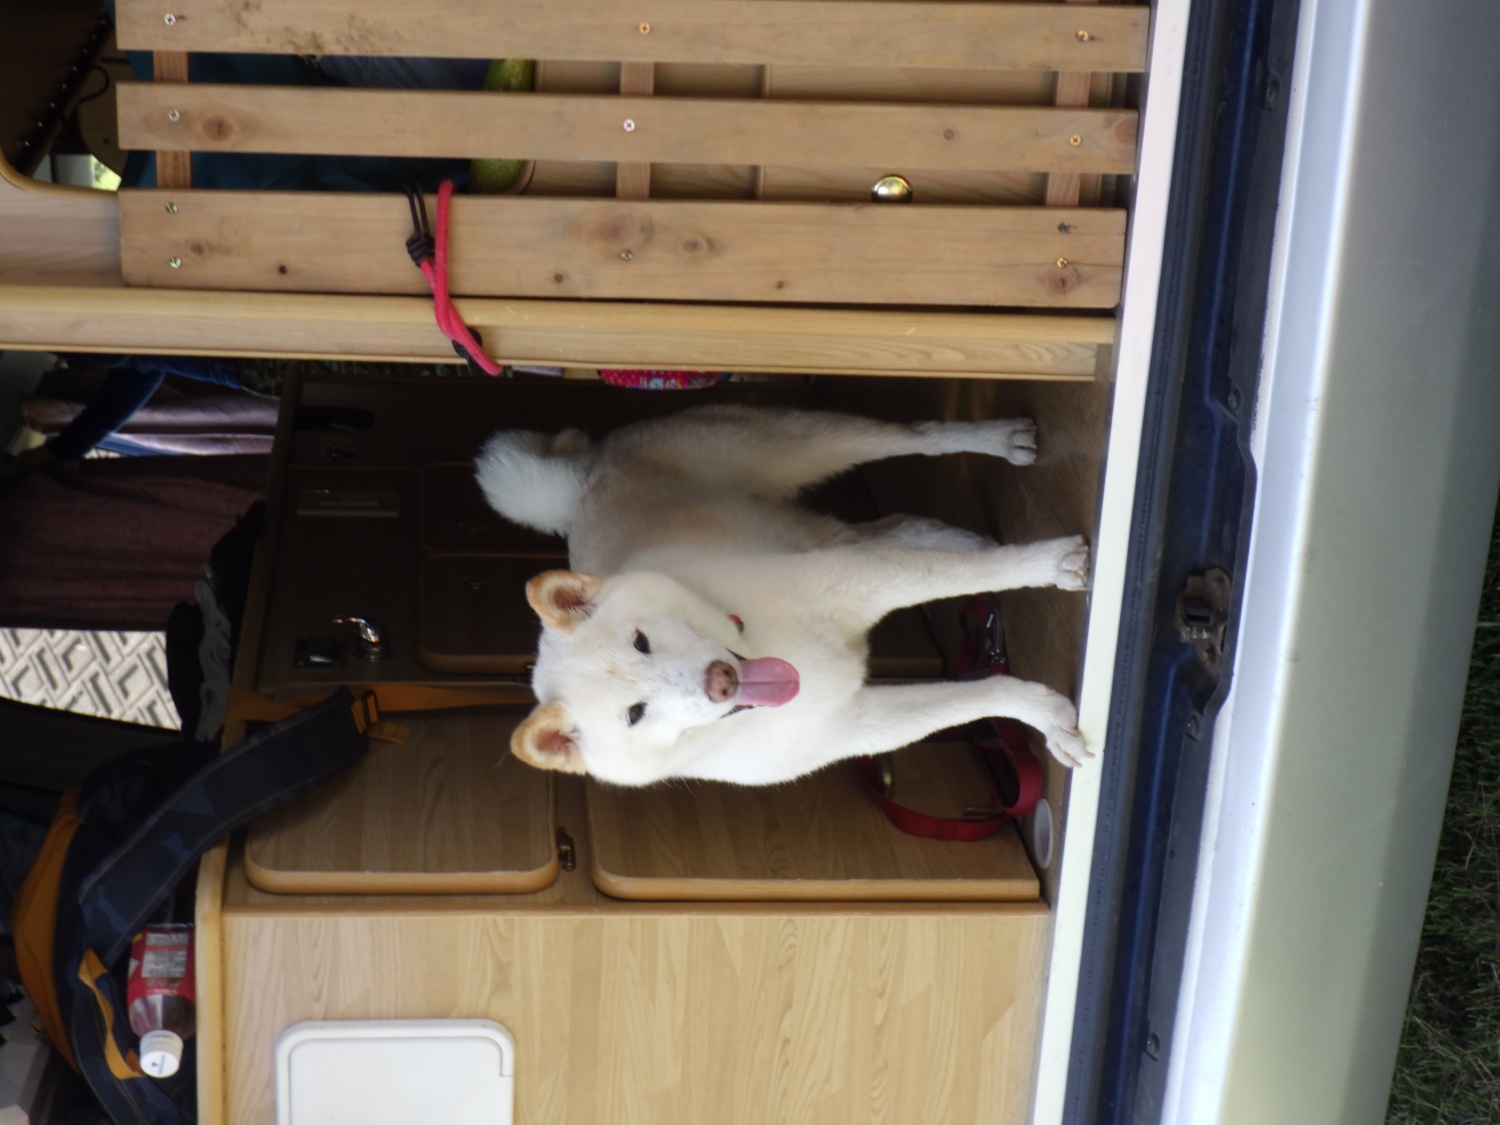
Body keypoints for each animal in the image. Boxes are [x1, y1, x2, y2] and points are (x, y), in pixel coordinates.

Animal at [475, 405, 1091, 786]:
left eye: (641, 641)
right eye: (635, 714)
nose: (721, 682)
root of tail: (585, 481)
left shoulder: (867, 580)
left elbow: (981, 574)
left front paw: (1051, 563)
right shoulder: (861, 723)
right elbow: (980, 695)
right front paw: (1048, 716)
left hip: (802, 444)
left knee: (912, 436)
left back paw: (997, 440)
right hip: (806, 517)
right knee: (890, 527)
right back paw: (955, 533)